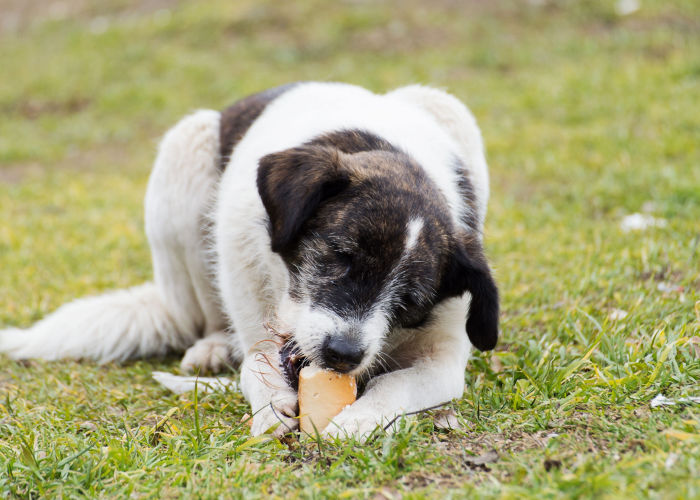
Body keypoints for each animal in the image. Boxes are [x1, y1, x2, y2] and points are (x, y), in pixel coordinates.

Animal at [0, 82, 498, 438]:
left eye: (410, 300)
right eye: (340, 256)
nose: (342, 355)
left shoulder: (444, 356)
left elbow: (398, 382)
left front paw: (360, 417)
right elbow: (254, 365)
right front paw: (269, 403)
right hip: (185, 149)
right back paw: (214, 345)